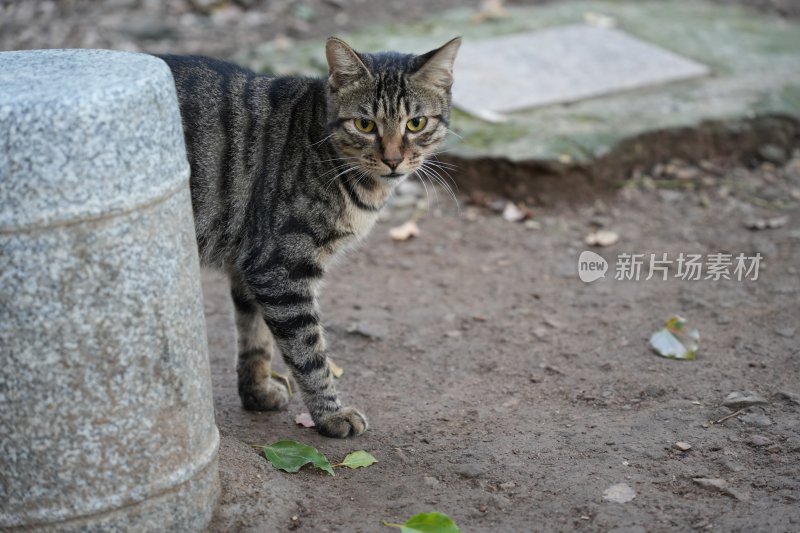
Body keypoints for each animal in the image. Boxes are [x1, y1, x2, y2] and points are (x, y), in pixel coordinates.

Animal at [161, 36, 462, 436]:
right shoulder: (279, 267)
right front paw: (331, 414)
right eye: (365, 124)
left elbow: (255, 337)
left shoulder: (248, 265)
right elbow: (308, 351)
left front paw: (256, 393)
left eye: (416, 123)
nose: (393, 160)